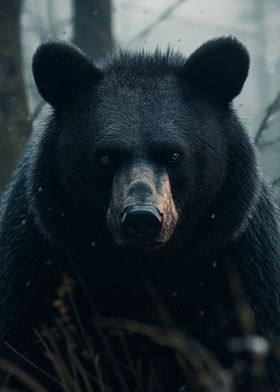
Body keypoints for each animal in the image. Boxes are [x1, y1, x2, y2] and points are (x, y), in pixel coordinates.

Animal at [0, 35, 278, 390]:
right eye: (106, 157)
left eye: (174, 155)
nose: (141, 219)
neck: (144, 268)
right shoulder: (38, 264)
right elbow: (28, 352)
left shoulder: (239, 266)